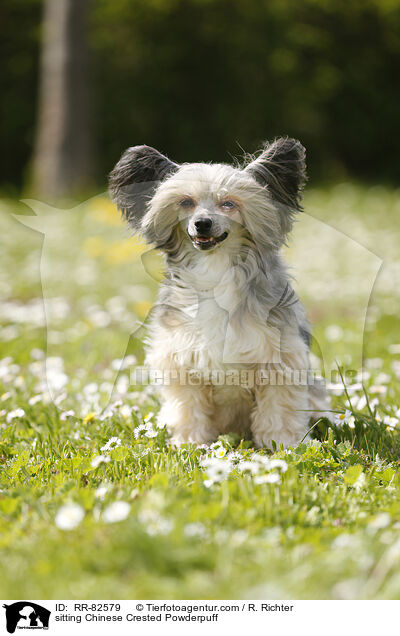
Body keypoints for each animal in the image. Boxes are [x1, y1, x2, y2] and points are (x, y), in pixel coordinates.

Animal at [109, 139, 328, 448]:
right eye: (186, 202)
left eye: (229, 203)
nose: (202, 223)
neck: (215, 268)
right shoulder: (182, 363)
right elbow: (189, 410)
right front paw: (190, 443)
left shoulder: (279, 361)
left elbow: (278, 412)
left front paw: (282, 447)